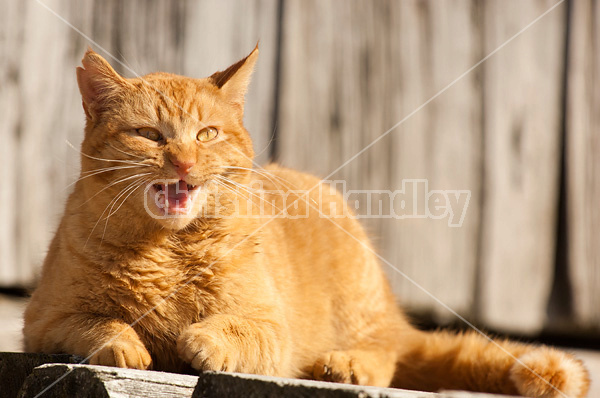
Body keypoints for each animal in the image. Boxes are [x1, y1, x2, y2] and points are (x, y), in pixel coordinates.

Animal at [21, 47, 588, 398]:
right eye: (149, 135)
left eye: (206, 134)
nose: (182, 161)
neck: (167, 248)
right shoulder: (44, 319)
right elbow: (96, 324)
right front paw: (128, 342)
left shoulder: (274, 329)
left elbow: (236, 331)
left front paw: (201, 339)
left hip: (360, 303)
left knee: (387, 352)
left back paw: (347, 363)